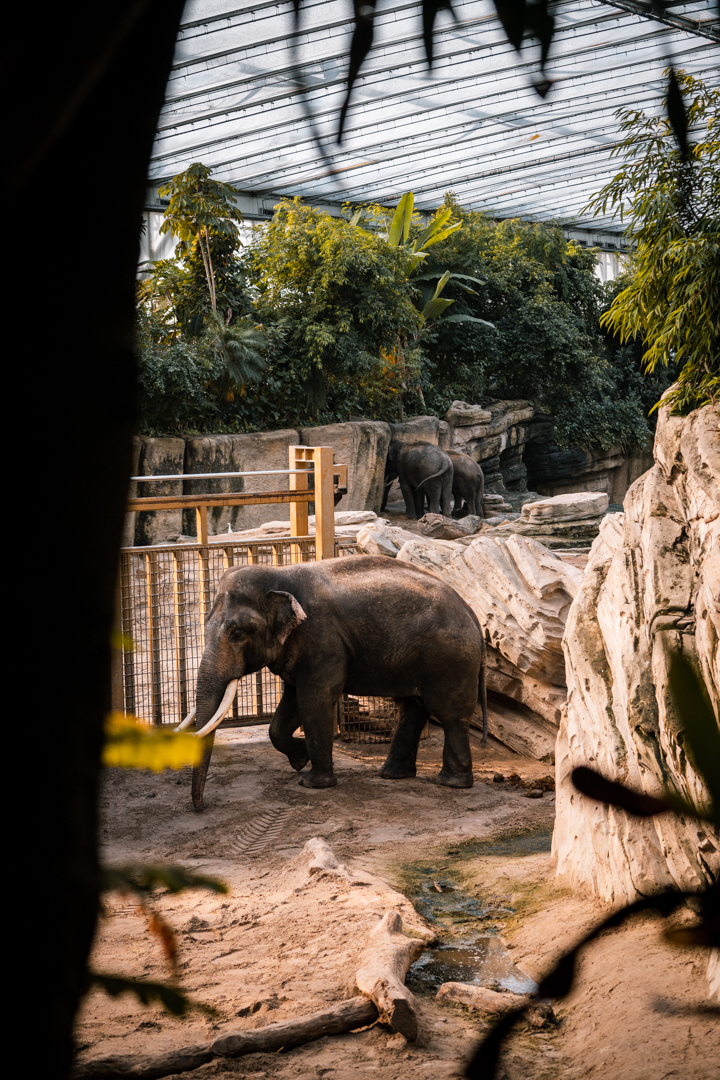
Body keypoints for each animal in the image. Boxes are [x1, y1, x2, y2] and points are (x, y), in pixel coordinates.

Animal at [190, 554, 488, 809]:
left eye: (237, 633)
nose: (201, 806)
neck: (280, 574)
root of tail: (473, 614)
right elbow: (290, 704)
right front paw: (300, 760)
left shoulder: (322, 639)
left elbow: (315, 699)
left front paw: (312, 783)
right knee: (413, 708)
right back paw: (392, 775)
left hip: (450, 660)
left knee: (449, 715)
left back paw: (451, 783)